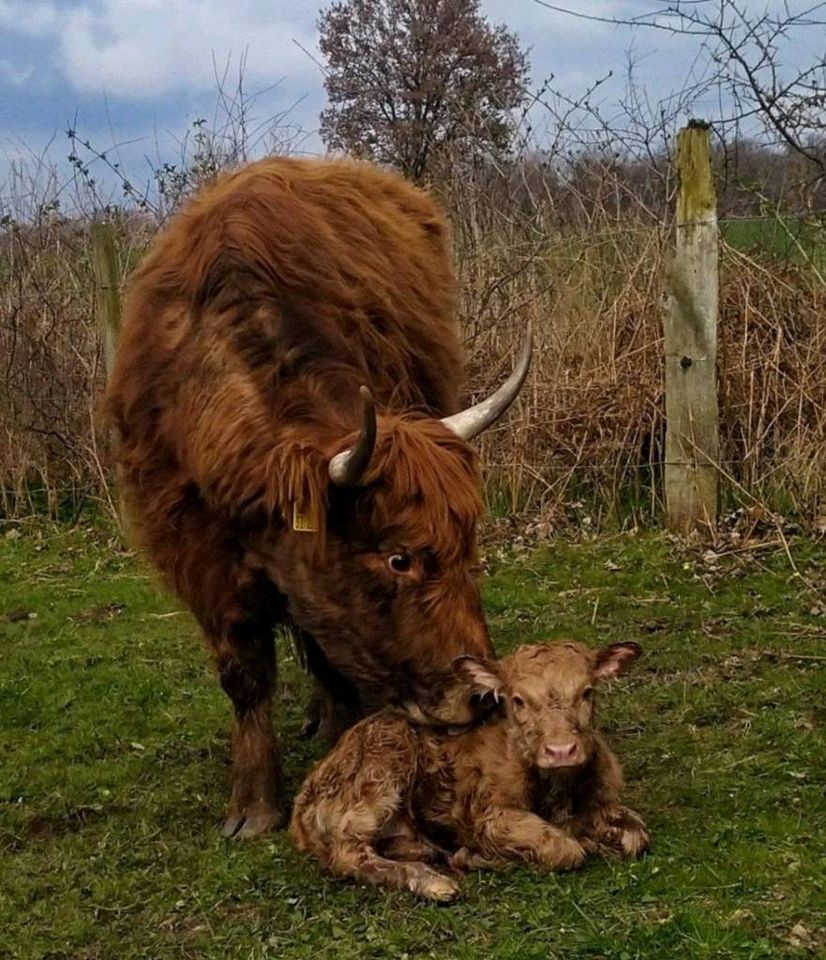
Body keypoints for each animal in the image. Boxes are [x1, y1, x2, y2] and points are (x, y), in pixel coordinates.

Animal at [104, 154, 528, 836]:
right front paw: (253, 804)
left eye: (467, 548)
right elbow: (245, 672)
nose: (482, 694)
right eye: (398, 559)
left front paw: (339, 734)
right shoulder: (196, 551)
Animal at [292, 636, 652, 900]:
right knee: (347, 853)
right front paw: (481, 856)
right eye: (518, 700)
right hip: (380, 770)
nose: (561, 750)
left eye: (586, 692)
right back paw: (433, 881)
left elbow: (637, 836)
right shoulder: (488, 816)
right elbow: (564, 849)